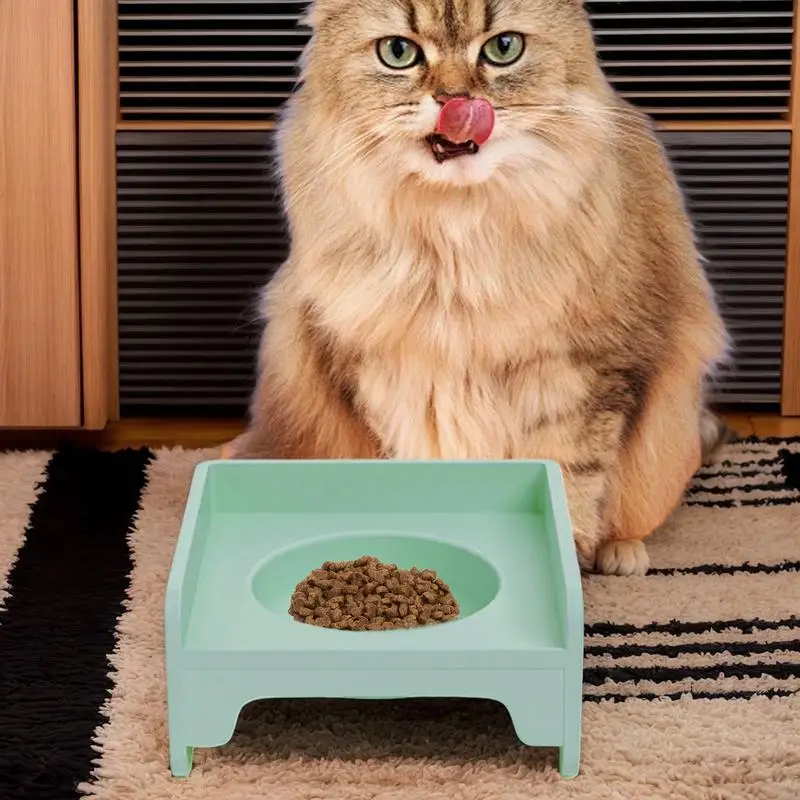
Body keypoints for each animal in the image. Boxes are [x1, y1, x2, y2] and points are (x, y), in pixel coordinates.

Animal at [223, 0, 731, 576]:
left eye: (503, 48)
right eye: (398, 52)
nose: (456, 102)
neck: (457, 231)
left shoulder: (587, 372)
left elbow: (572, 482)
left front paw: (570, 563)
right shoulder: (383, 372)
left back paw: (622, 554)